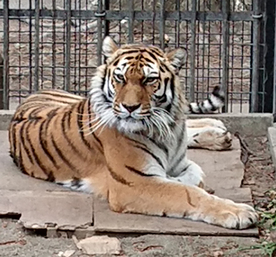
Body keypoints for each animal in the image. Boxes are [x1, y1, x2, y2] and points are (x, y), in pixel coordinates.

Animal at [9, 36, 258, 228]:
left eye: (149, 79)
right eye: (120, 77)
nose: (129, 107)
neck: (166, 127)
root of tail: (31, 95)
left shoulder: (178, 162)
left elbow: (194, 176)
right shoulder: (134, 183)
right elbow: (187, 192)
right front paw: (239, 212)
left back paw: (217, 128)